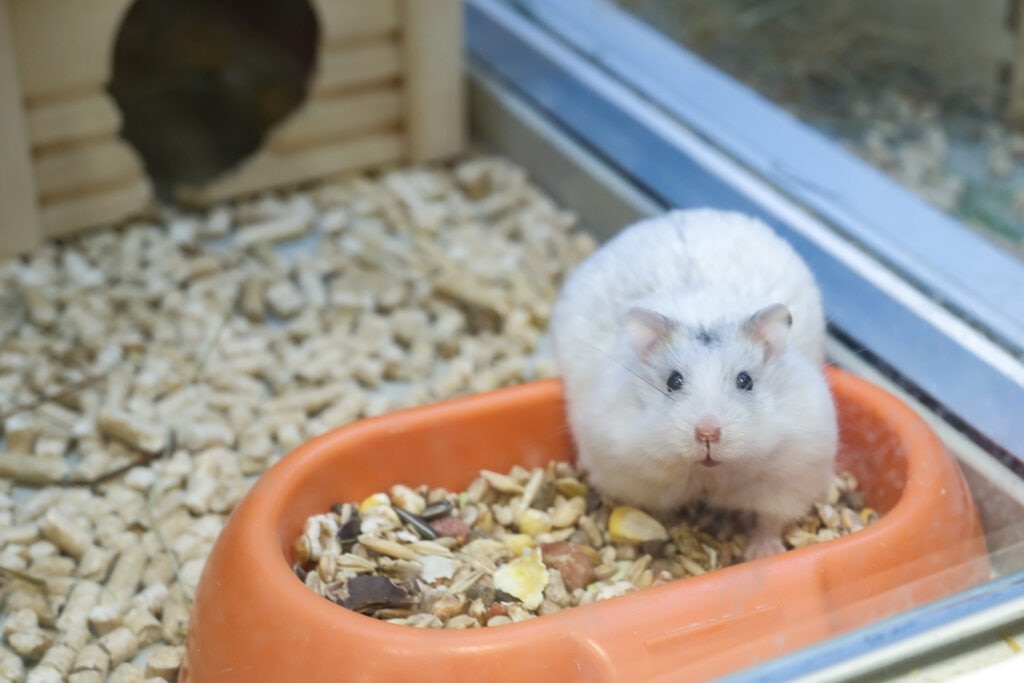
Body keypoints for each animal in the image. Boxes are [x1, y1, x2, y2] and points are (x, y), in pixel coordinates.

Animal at [550, 209, 838, 560]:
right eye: (673, 381)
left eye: (745, 380)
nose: (707, 433)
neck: (707, 472)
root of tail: (677, 215)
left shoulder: (791, 476)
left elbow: (771, 520)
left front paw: (761, 553)